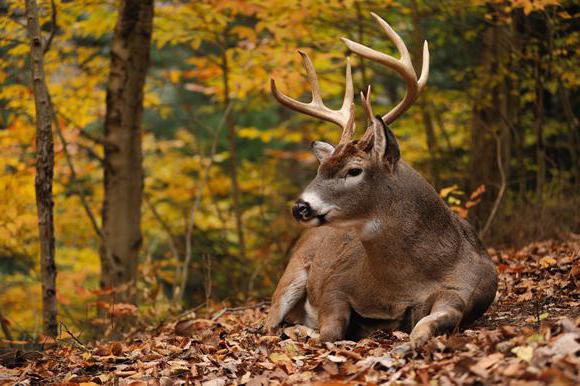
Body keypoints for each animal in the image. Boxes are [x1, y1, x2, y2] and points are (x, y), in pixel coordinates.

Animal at [266, 13, 496, 350]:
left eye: (354, 170)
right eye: (320, 170)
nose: (300, 207)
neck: (402, 286)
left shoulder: (467, 291)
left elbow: (432, 321)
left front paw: (411, 343)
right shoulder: (335, 283)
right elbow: (331, 331)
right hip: (291, 273)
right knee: (267, 325)